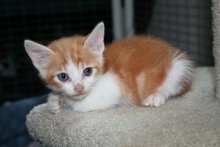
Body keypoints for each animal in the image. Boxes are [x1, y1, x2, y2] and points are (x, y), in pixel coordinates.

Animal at [23, 22, 192, 113]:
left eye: (87, 71)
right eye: (63, 76)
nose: (79, 88)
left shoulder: (114, 87)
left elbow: (80, 105)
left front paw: (63, 101)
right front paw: (54, 101)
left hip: (178, 67)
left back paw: (155, 96)